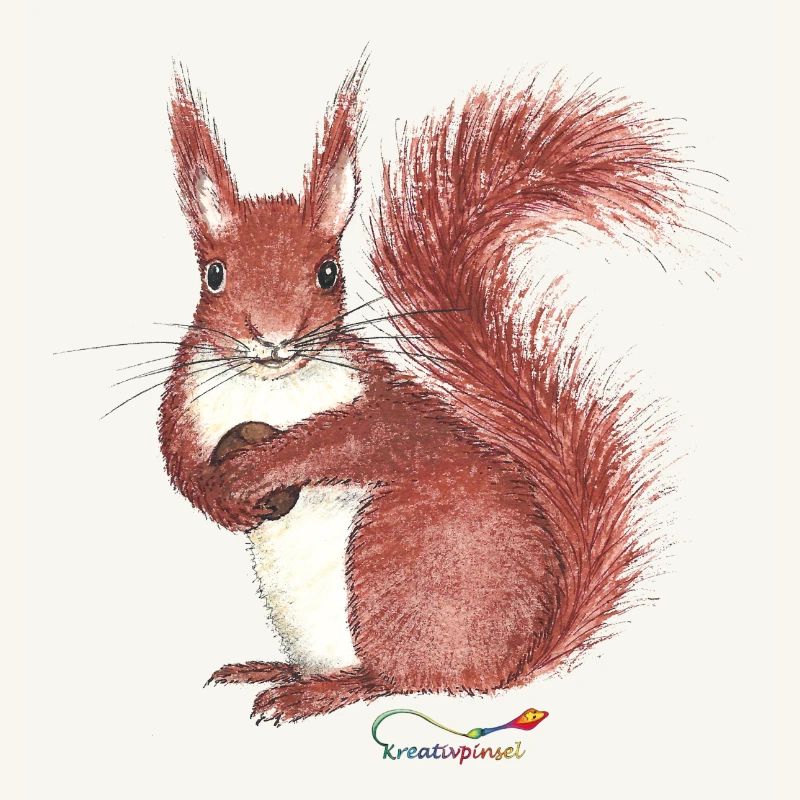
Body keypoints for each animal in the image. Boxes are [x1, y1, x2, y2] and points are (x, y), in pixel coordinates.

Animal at [159, 59, 685, 725]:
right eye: (214, 275)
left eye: (328, 273)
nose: (275, 339)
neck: (269, 386)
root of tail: (510, 665)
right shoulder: (185, 400)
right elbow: (179, 462)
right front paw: (219, 498)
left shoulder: (383, 405)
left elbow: (346, 439)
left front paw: (260, 468)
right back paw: (272, 670)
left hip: (392, 563)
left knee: (400, 680)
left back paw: (319, 692)